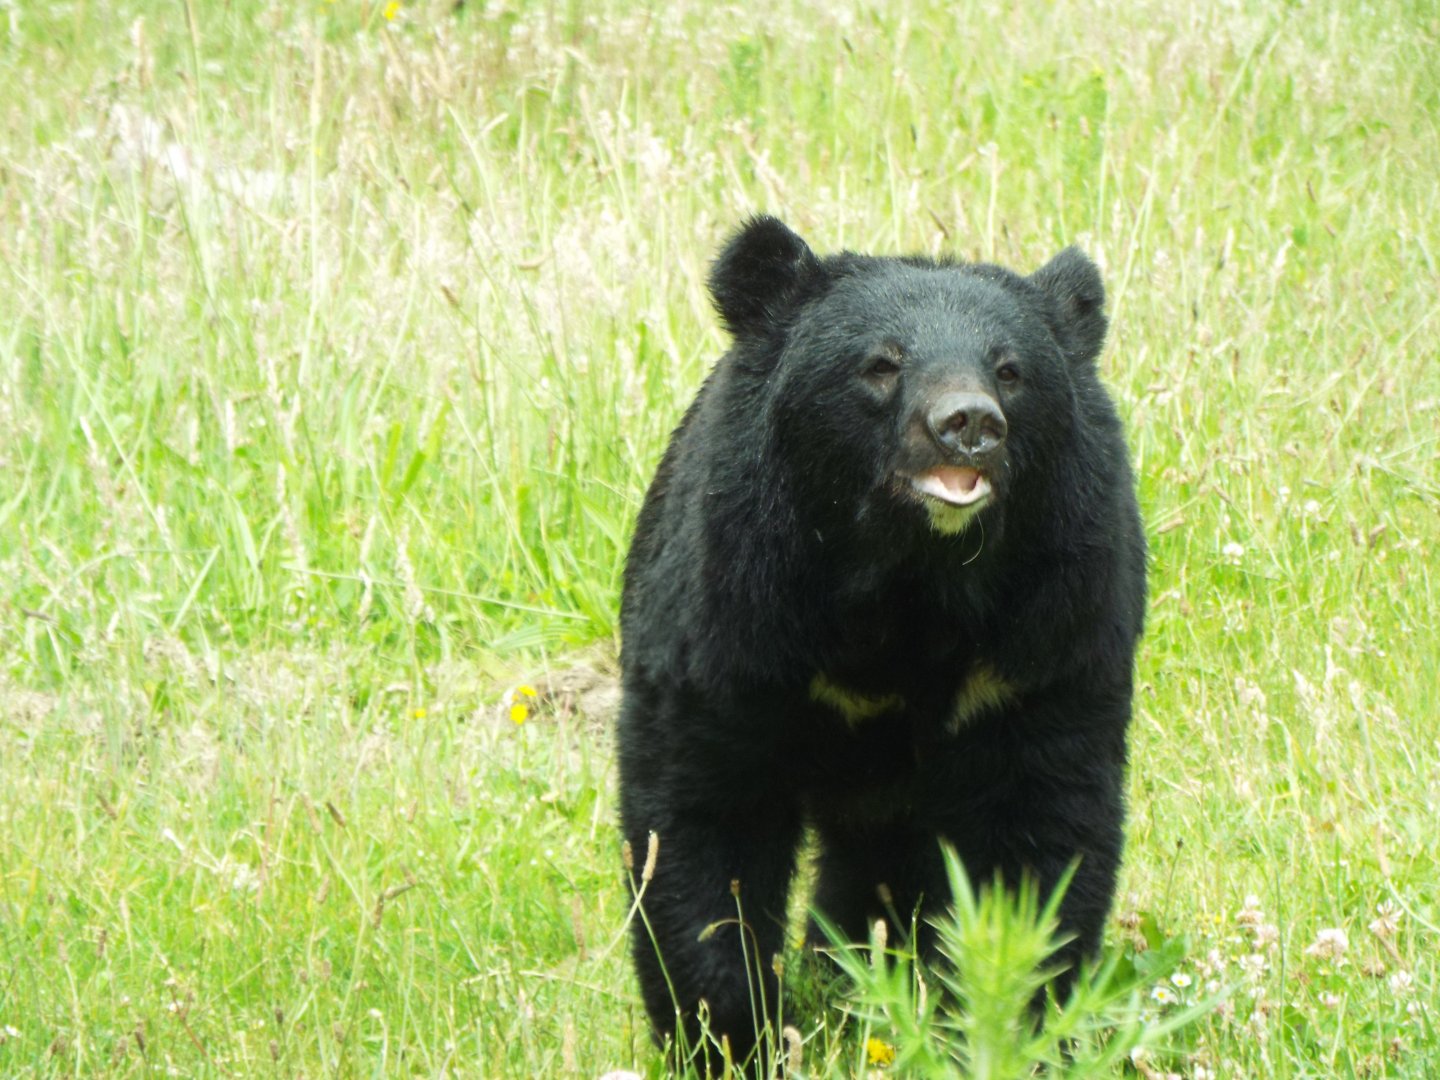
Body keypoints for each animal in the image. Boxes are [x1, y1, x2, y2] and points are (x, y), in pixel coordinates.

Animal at [617, 216, 1146, 1074]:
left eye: (1010, 371)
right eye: (881, 364)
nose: (969, 424)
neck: (909, 579)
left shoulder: (1053, 628)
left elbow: (1045, 826)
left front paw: (1018, 1025)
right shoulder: (731, 605)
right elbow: (704, 820)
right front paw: (728, 1039)